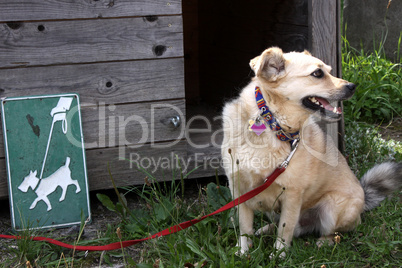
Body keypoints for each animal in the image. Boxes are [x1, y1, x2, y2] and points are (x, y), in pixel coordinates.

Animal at [221, 47, 402, 256]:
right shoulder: (240, 190)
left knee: (329, 231)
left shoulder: (292, 195)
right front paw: (243, 252)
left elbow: (286, 228)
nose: (353, 86)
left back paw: (325, 242)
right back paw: (265, 229)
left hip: (331, 208)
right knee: (290, 226)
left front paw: (278, 255)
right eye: (317, 73)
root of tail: (364, 199)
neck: (274, 125)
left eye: (329, 71)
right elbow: (245, 228)